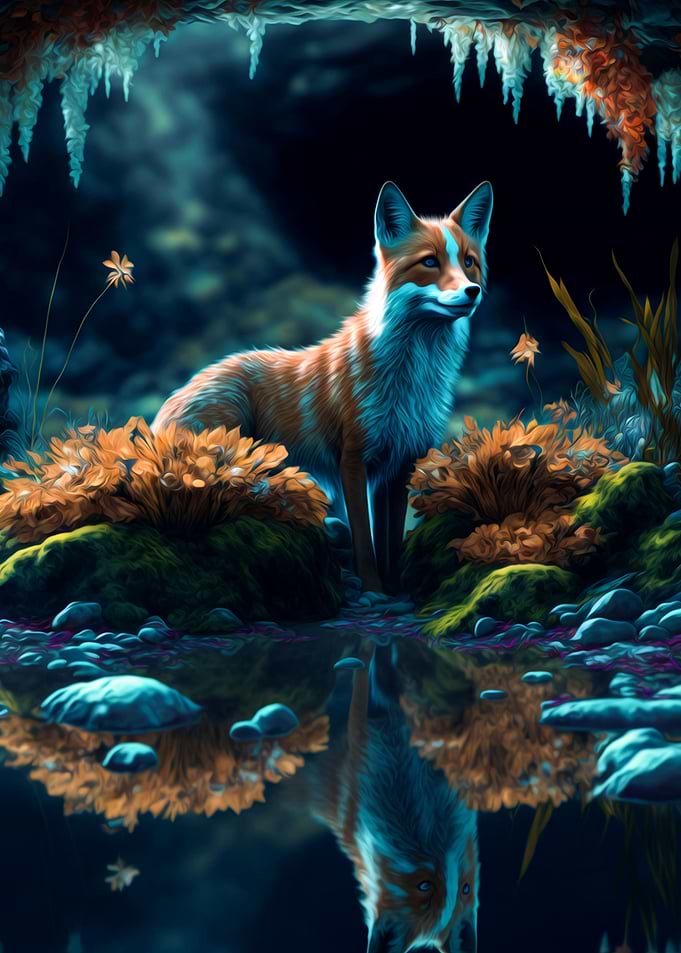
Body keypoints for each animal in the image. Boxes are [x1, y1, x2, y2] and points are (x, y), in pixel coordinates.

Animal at [153, 180, 493, 592]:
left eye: (469, 261)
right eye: (430, 262)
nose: (472, 291)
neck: (411, 381)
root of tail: (169, 404)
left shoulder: (400, 462)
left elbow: (390, 540)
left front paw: (395, 587)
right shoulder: (353, 459)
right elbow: (364, 538)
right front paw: (374, 588)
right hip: (232, 441)